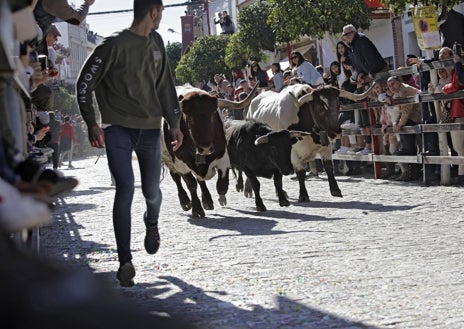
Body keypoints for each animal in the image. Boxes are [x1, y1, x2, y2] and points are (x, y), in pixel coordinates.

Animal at [161, 84, 258, 218]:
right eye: (188, 117)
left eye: (213, 114)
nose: (206, 147)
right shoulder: (180, 163)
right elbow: (191, 184)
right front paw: (197, 209)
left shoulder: (223, 158)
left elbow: (222, 184)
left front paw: (221, 199)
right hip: (168, 159)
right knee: (177, 178)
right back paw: (185, 201)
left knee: (200, 180)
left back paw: (207, 200)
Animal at [246, 83, 374, 201]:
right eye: (321, 108)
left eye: (338, 105)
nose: (336, 132)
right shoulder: (292, 153)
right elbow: (300, 173)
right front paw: (303, 195)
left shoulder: (327, 147)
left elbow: (329, 168)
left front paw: (335, 190)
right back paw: (249, 189)